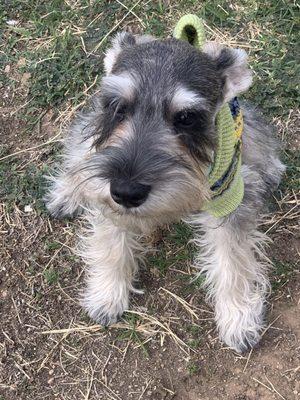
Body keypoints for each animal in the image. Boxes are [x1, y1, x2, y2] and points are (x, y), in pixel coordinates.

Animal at [45, 31, 284, 352]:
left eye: (186, 118)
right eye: (118, 107)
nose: (126, 192)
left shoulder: (230, 202)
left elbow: (234, 261)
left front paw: (238, 317)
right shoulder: (110, 195)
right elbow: (111, 244)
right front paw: (107, 292)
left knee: (258, 141)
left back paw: (270, 168)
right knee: (80, 153)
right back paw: (66, 193)